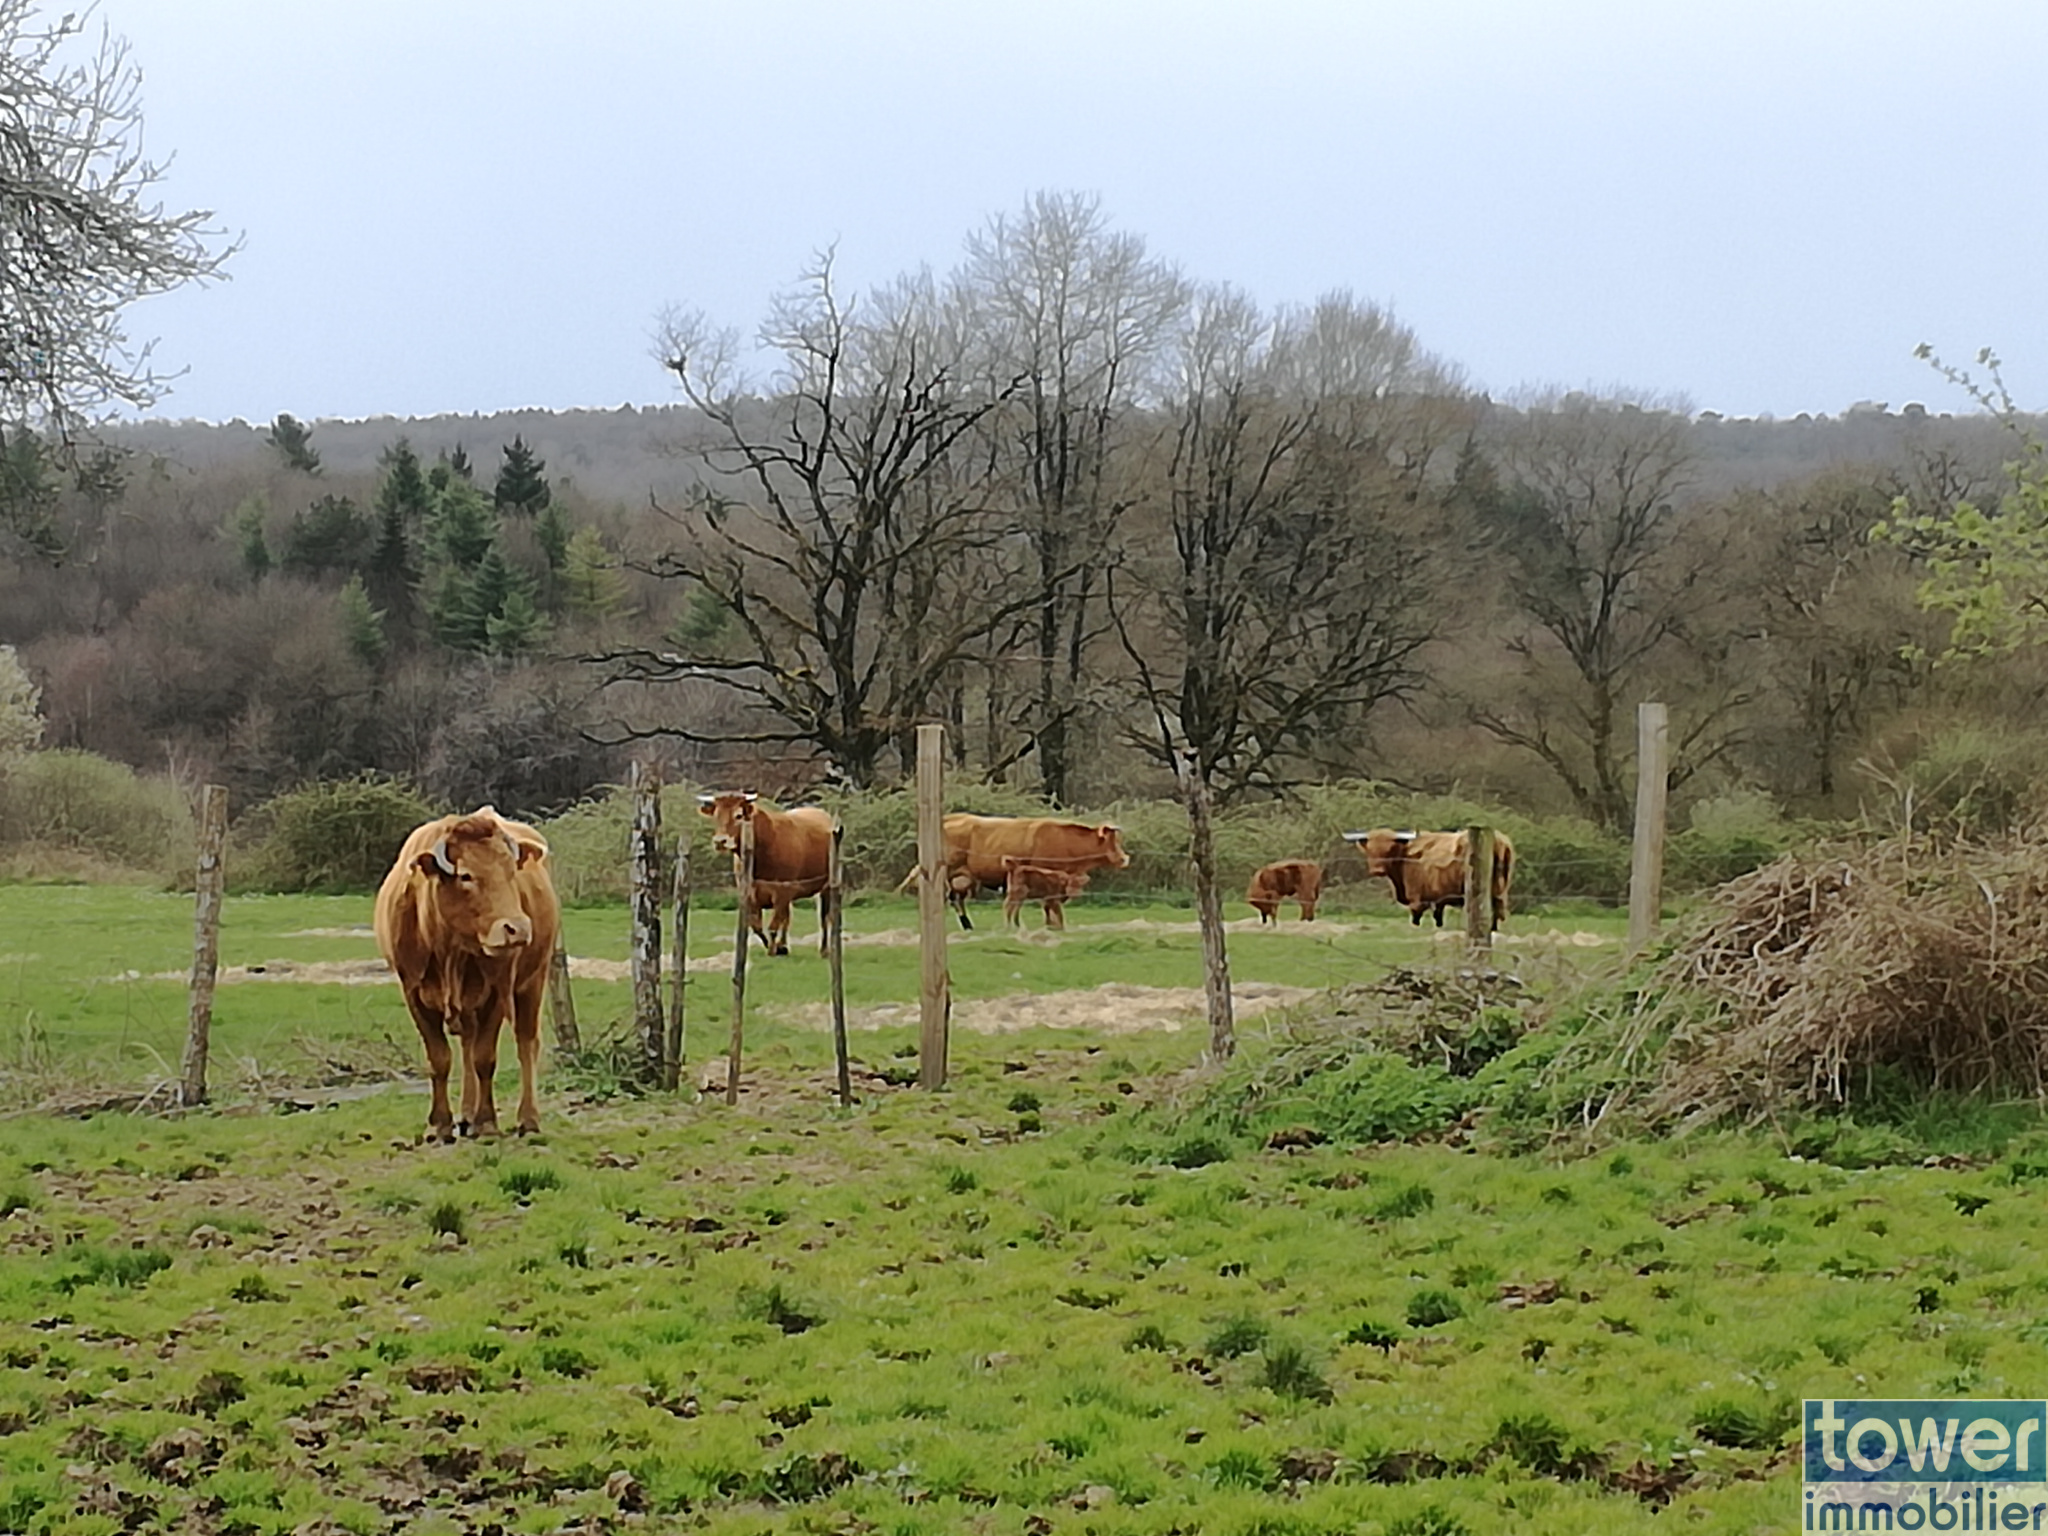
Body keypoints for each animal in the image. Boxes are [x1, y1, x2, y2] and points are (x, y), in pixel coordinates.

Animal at [376, 806, 561, 1146]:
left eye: (511, 871)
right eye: (466, 875)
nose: (517, 928)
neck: (450, 947)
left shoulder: (498, 991)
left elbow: (484, 1058)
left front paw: (487, 1122)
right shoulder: (413, 993)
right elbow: (440, 1059)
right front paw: (440, 1125)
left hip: (534, 979)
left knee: (526, 1043)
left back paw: (527, 1119)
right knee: (467, 1042)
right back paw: (466, 1115)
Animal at [704, 786, 831, 958]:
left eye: (738, 815)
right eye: (716, 816)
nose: (720, 841)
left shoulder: (782, 891)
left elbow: (773, 925)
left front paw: (773, 950)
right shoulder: (750, 893)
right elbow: (757, 926)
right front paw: (777, 947)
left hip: (826, 886)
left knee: (824, 917)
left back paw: (824, 950)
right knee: (787, 917)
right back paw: (784, 945)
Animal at [1351, 823, 1515, 933]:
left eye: (1390, 849)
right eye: (1370, 850)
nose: (1377, 870)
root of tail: (1500, 840)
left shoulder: (1416, 895)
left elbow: (1416, 915)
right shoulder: (1438, 896)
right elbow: (1438, 916)